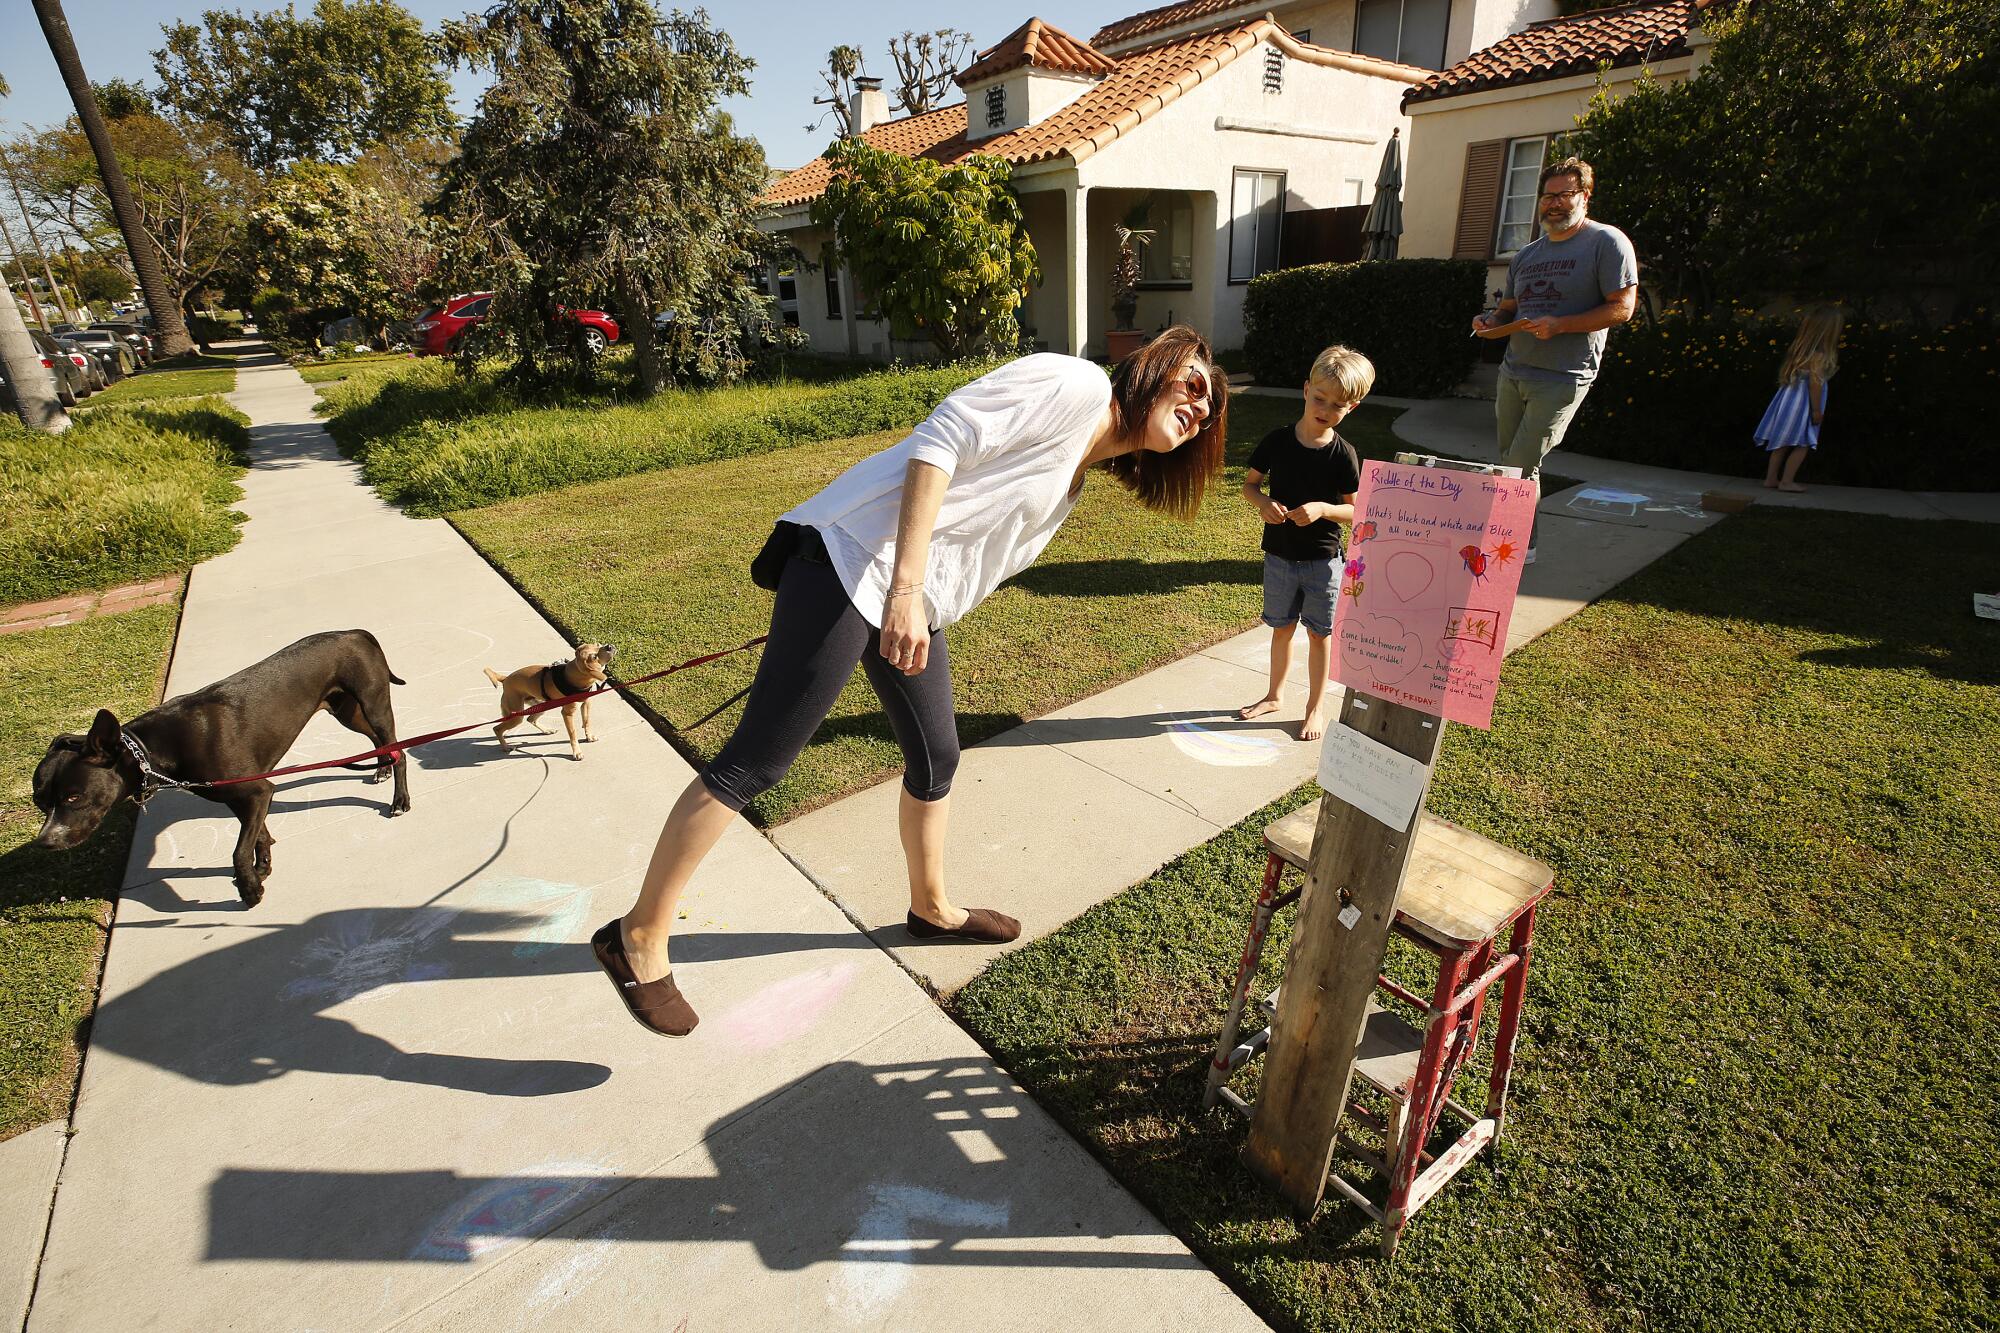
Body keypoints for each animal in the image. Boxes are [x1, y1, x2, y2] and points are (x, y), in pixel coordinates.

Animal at [33, 624, 412, 904]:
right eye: (40, 803)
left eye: (73, 797)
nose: (45, 843)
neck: (152, 749)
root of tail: (354, 632)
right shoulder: (241, 797)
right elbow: (258, 836)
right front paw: (263, 867)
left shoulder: (257, 791)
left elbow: (238, 851)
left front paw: (249, 889)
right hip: (345, 711)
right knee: (384, 744)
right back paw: (381, 768)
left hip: (372, 702)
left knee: (401, 750)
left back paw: (399, 800)